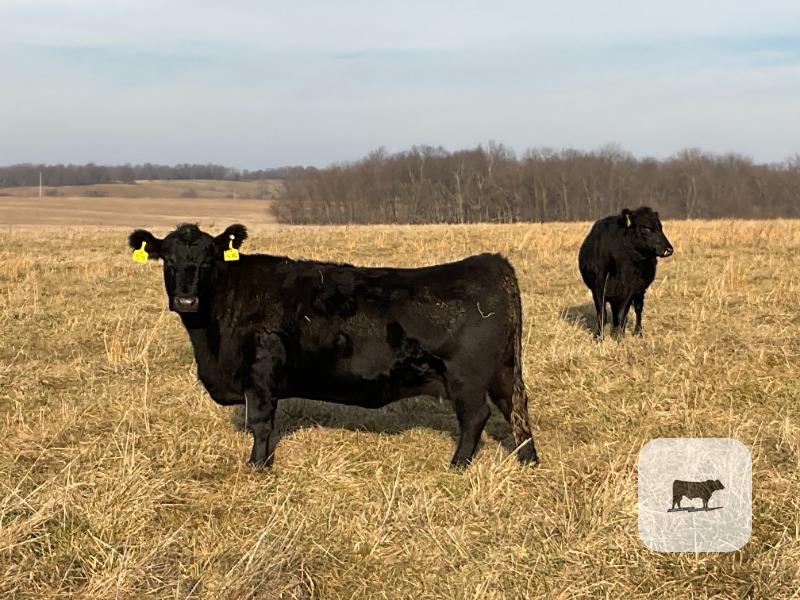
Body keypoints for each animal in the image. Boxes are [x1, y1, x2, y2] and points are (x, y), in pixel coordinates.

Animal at [127, 223, 539, 469]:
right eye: (167, 259)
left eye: (209, 259)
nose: (186, 300)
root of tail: (492, 264)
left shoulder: (260, 375)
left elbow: (261, 423)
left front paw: (258, 466)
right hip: (502, 371)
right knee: (516, 409)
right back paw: (528, 460)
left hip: (466, 377)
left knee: (476, 417)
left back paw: (457, 466)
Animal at [578, 207, 673, 340]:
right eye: (646, 228)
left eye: (660, 227)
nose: (668, 249)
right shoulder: (597, 288)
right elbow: (602, 315)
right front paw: (599, 337)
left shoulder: (630, 289)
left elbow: (622, 314)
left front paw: (620, 338)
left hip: (640, 290)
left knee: (638, 309)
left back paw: (638, 332)